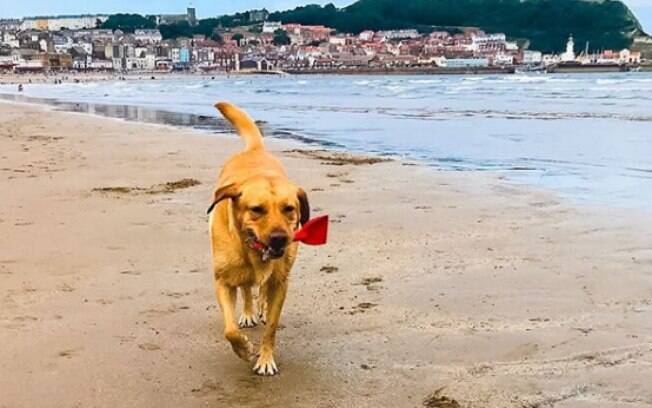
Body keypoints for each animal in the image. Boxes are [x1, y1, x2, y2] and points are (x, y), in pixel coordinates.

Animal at [209, 102, 310, 376]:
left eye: (289, 209)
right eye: (256, 209)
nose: (279, 239)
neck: (254, 252)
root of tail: (254, 150)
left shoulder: (281, 283)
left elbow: (272, 326)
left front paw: (265, 359)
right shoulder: (223, 282)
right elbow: (229, 330)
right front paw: (243, 348)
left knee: (262, 288)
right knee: (246, 288)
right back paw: (248, 312)